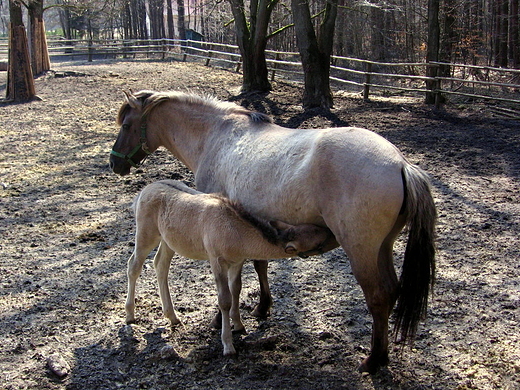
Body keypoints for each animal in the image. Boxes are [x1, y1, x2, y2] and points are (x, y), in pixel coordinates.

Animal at [125, 180, 334, 356]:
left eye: (315, 228)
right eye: (318, 243)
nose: (331, 232)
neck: (237, 233)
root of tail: (144, 190)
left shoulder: (237, 261)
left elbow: (236, 289)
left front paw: (239, 325)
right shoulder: (217, 260)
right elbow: (224, 299)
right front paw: (228, 345)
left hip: (169, 240)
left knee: (161, 264)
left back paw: (173, 316)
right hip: (146, 232)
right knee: (134, 265)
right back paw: (130, 315)